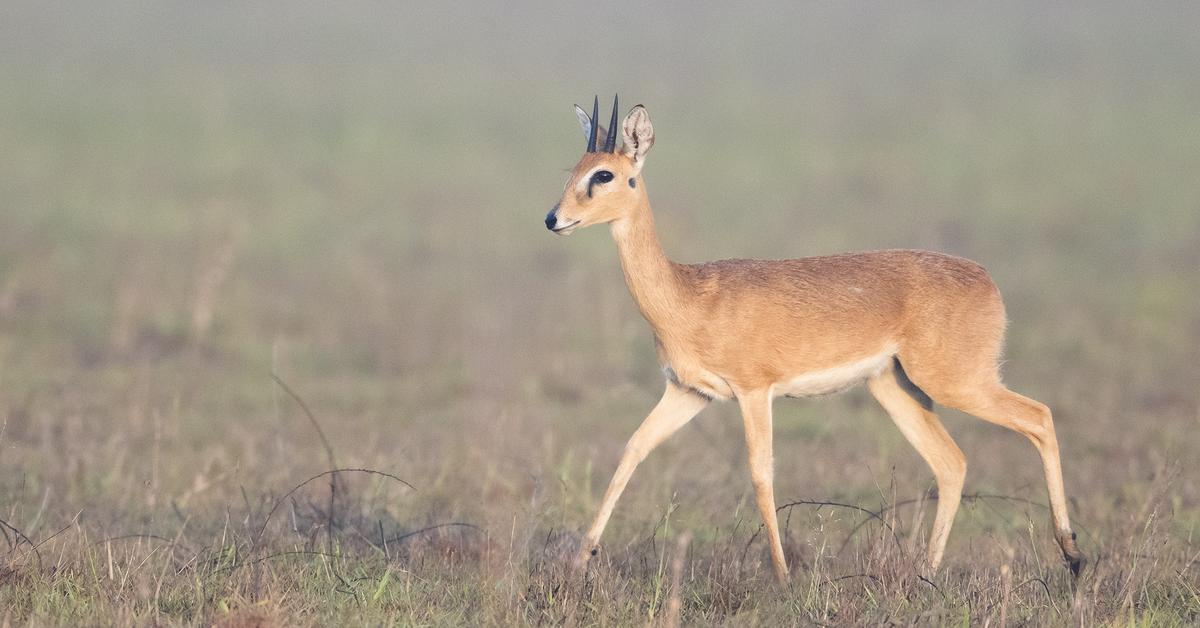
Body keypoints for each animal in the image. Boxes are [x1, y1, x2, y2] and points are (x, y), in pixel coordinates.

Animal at [544, 96, 1089, 583]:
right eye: (575, 168)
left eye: (605, 175)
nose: (554, 219)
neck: (690, 295)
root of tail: (986, 278)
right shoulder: (689, 392)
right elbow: (631, 450)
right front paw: (579, 563)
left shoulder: (754, 391)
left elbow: (761, 474)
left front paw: (784, 579)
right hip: (894, 387)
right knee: (951, 461)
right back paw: (927, 574)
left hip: (957, 381)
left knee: (1038, 417)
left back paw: (1073, 555)